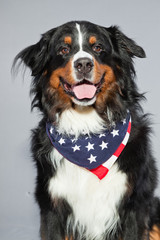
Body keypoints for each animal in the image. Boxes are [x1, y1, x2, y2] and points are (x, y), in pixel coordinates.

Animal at [14, 21, 160, 240]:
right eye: (64, 49)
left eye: (98, 47)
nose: (83, 64)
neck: (86, 127)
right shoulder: (52, 207)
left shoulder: (134, 205)